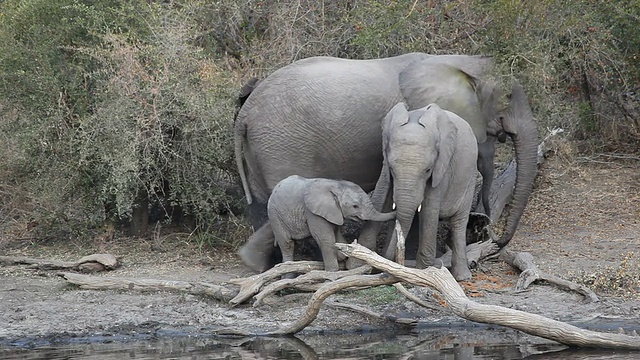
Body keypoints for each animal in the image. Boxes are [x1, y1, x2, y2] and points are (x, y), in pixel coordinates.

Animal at [264, 176, 396, 272]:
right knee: (287, 244)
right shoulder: (312, 212)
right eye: (355, 206)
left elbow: (337, 235)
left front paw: (342, 254)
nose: (395, 212)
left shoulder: (333, 212)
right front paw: (332, 271)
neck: (335, 184)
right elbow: (325, 238)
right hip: (274, 216)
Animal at [376, 102, 480, 280]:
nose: (382, 272)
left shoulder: (443, 166)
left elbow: (429, 209)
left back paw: (462, 277)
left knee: (459, 222)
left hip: (470, 178)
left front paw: (424, 272)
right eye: (392, 169)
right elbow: (389, 199)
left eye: (427, 170)